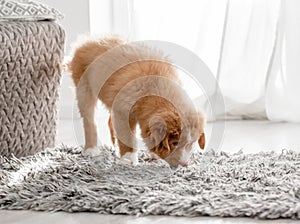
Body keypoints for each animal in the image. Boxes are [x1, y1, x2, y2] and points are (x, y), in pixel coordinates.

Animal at [68, 36, 205, 166]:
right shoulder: (123, 110)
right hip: (84, 87)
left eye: (191, 144)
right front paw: (129, 159)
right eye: (175, 143)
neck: (156, 86)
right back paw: (91, 149)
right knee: (89, 120)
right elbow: (127, 137)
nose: (185, 164)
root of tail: (86, 41)